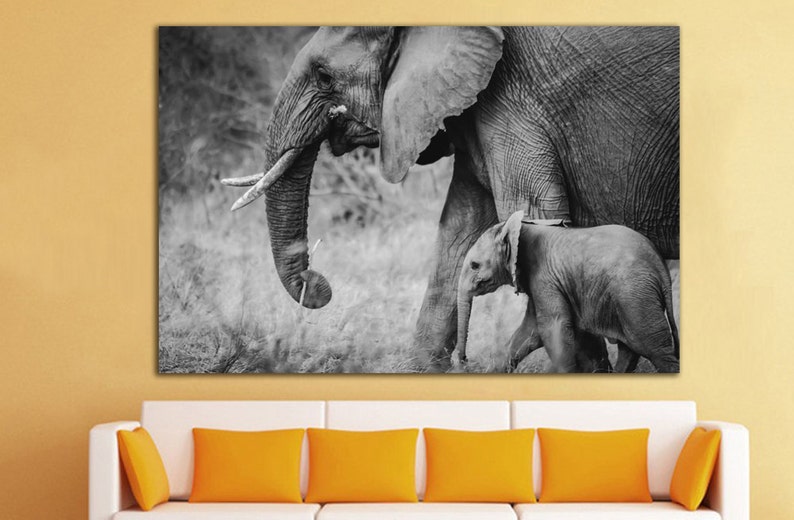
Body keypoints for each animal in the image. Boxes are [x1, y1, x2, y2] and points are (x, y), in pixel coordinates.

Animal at [456, 211, 680, 373]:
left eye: (475, 265)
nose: (464, 360)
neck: (521, 227)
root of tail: (660, 266)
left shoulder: (545, 276)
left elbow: (553, 327)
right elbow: (529, 332)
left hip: (634, 295)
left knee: (655, 348)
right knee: (631, 349)